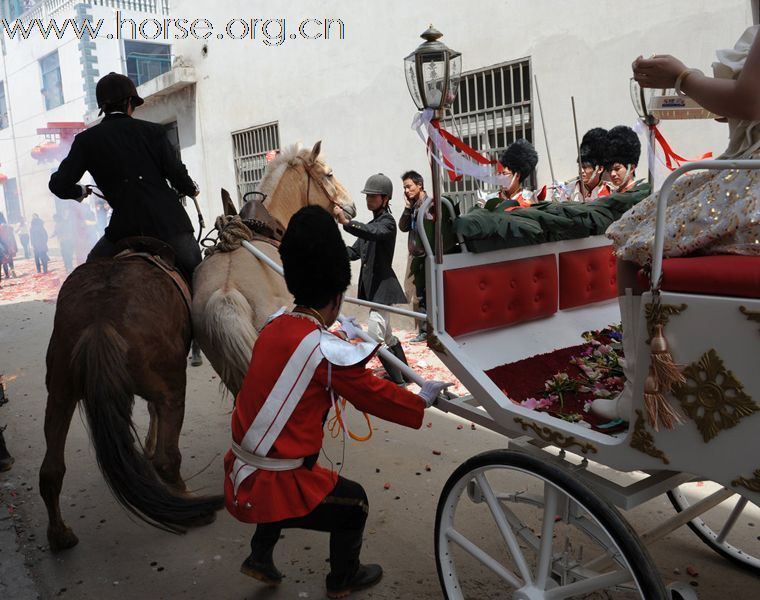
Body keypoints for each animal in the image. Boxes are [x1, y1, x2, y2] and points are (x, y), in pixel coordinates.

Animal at [39, 251, 223, 552]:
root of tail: (100, 318)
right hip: (172, 389)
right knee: (166, 460)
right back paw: (191, 505)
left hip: (60, 392)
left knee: (51, 470)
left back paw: (59, 535)